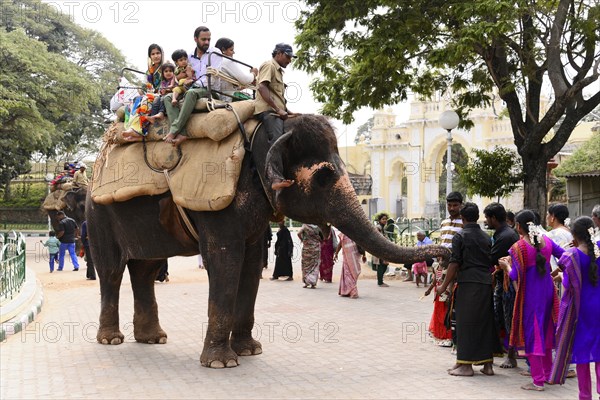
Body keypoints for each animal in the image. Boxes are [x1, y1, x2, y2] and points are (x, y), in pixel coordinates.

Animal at [85, 114, 450, 368]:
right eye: (324, 177)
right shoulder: (219, 206)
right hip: (98, 217)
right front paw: (222, 363)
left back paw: (153, 339)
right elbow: (225, 260)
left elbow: (251, 263)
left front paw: (250, 351)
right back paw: (113, 340)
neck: (268, 126)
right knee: (112, 272)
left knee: (146, 270)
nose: (445, 255)